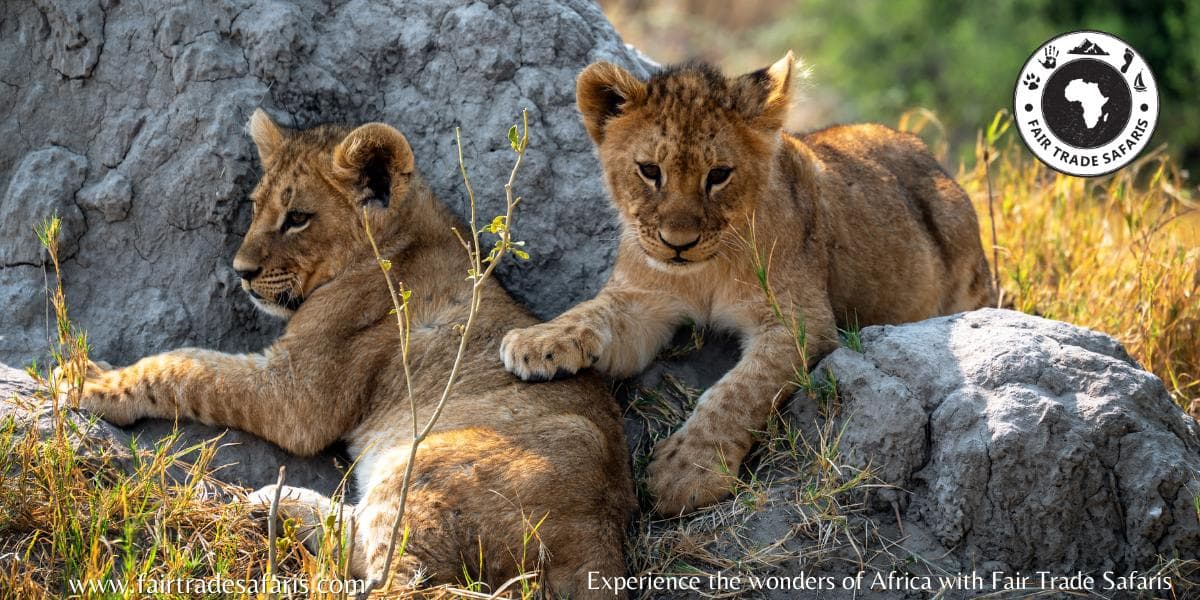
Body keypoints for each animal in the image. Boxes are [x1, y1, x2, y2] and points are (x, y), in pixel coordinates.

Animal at [66, 109, 635, 597]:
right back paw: (279, 503)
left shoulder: (296, 396)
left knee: (396, 571)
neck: (399, 238)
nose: (241, 272)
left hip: (427, 467)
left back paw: (278, 506)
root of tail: (600, 547)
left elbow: (186, 366)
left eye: (297, 218)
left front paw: (88, 382)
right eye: (255, 207)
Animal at [500, 53, 995, 515]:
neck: (703, 272)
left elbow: (738, 392)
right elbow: (592, 311)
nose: (678, 243)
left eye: (719, 175)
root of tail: (928, 156)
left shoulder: (800, 321)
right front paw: (536, 341)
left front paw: (686, 471)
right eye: (649, 170)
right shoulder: (642, 300)